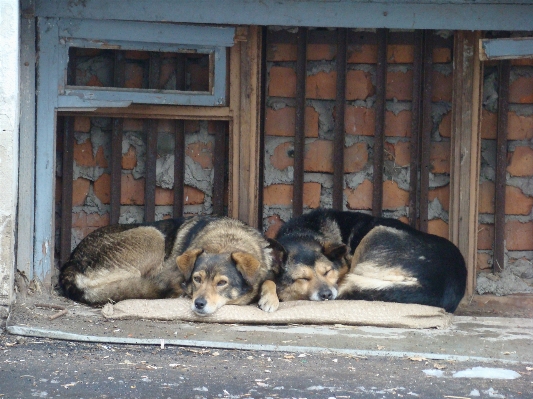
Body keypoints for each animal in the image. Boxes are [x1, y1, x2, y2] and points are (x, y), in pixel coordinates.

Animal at [59, 216, 278, 316]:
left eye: (222, 283)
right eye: (197, 279)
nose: (199, 304)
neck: (226, 239)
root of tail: (69, 266)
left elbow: (270, 281)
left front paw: (270, 299)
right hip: (153, 235)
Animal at [272, 208, 468, 314]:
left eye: (327, 272)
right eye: (302, 278)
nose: (327, 295)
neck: (303, 232)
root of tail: (436, 286)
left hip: (376, 233)